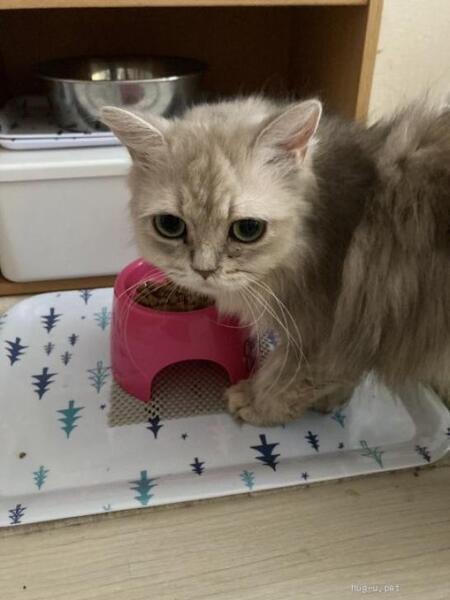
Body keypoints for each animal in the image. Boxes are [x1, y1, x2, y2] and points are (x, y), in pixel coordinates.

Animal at [101, 96, 450, 425]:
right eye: (170, 225)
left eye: (248, 229)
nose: (204, 270)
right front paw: (331, 401)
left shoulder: (332, 333)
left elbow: (286, 377)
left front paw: (256, 402)